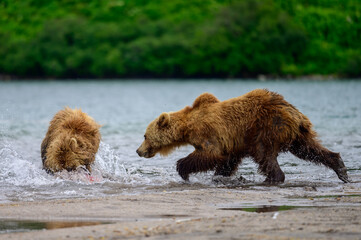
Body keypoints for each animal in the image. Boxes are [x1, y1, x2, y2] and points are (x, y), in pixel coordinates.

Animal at [136, 89, 348, 183]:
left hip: (266, 127)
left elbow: (210, 154)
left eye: (145, 136)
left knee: (264, 155)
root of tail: (294, 113)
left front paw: (183, 170)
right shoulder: (232, 143)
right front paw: (219, 176)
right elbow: (228, 160)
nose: (138, 151)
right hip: (297, 134)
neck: (187, 127)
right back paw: (340, 168)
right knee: (310, 149)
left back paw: (272, 178)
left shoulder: (208, 133)